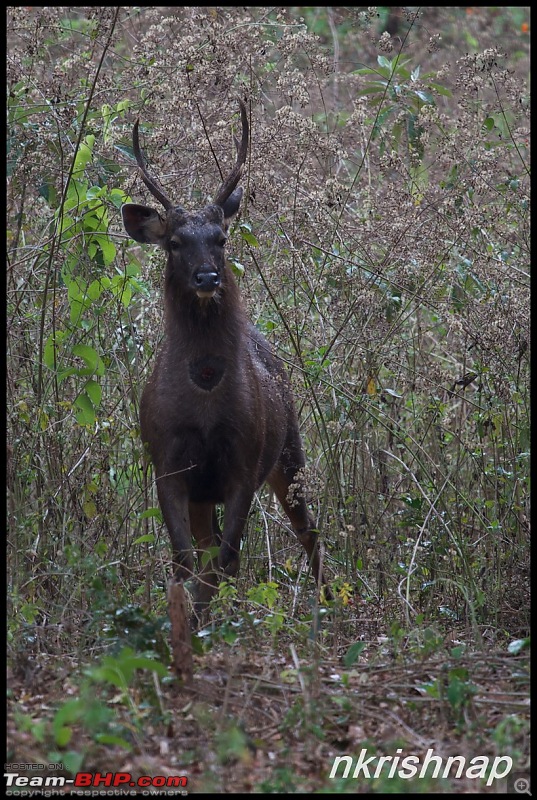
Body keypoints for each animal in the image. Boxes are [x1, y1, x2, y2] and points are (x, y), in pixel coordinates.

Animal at [122, 100, 326, 620]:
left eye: (220, 238)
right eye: (175, 242)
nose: (207, 277)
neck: (206, 395)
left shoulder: (243, 462)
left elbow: (226, 559)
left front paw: (210, 621)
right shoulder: (169, 463)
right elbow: (185, 559)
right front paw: (187, 620)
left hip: (289, 448)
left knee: (308, 529)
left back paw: (327, 604)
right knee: (206, 547)